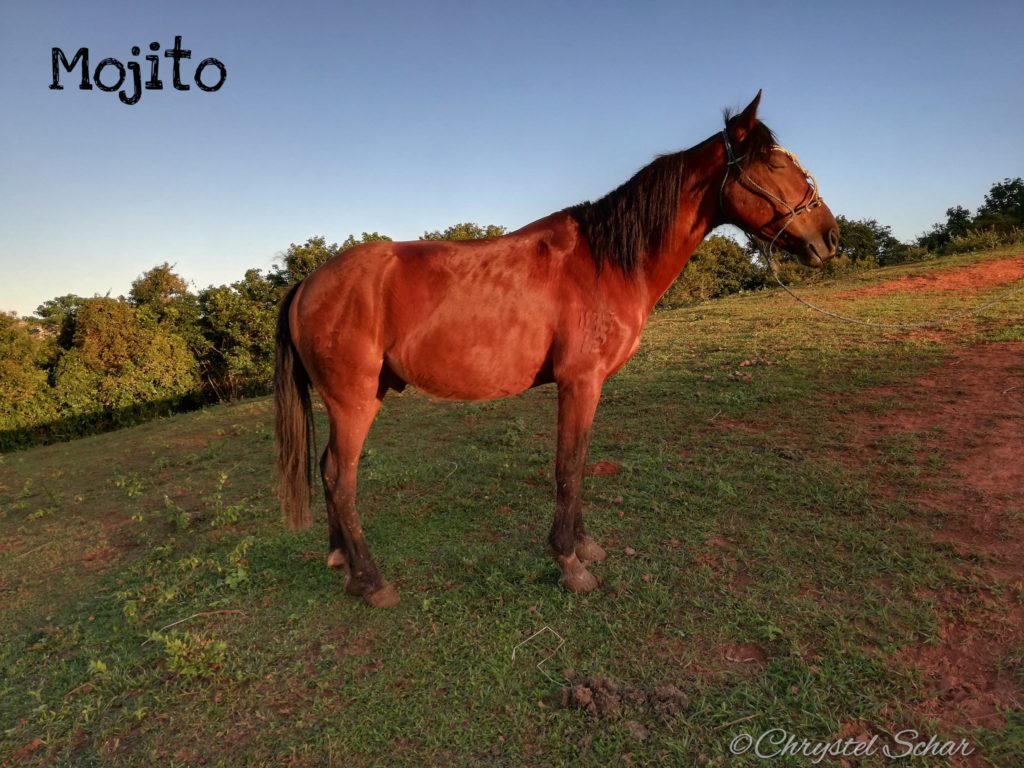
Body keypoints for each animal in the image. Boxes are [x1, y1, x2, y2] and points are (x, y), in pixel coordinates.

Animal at [274, 91, 839, 608]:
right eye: (774, 164)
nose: (830, 237)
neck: (606, 260)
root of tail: (308, 284)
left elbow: (580, 463)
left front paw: (585, 547)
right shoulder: (579, 382)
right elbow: (567, 467)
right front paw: (569, 563)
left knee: (327, 470)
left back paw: (342, 560)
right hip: (353, 402)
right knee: (339, 477)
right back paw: (371, 582)